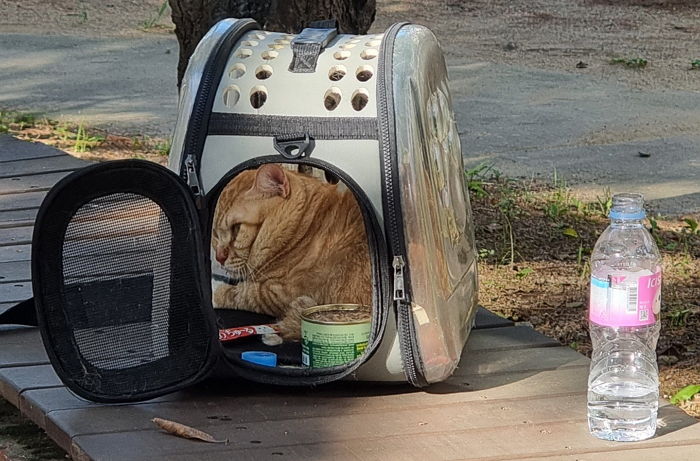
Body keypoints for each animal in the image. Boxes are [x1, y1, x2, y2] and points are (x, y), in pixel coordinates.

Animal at [211, 164, 372, 340]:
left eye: (237, 228)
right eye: (215, 234)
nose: (219, 257)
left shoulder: (281, 294)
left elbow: (241, 293)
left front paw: (214, 290)